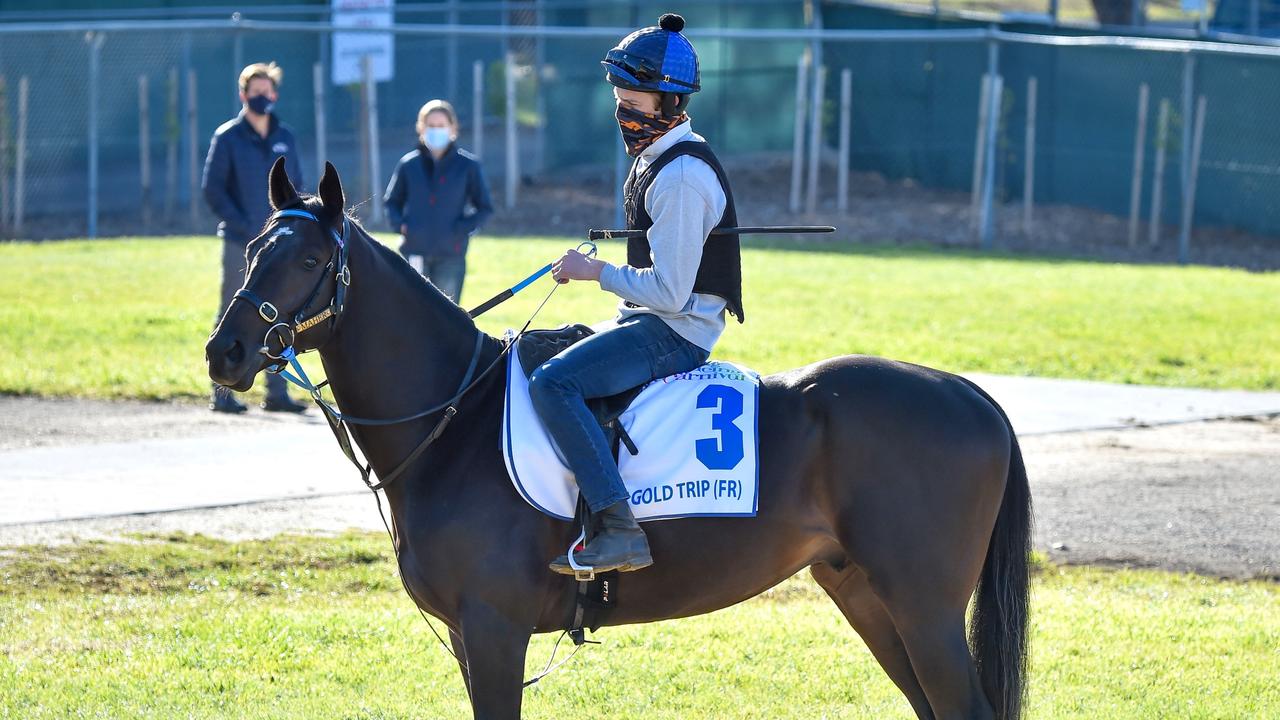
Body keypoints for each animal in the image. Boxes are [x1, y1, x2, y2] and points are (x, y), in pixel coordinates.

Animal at [207, 158, 1029, 717]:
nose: (227, 353)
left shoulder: (495, 631)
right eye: (250, 251)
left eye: (311, 260)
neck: (456, 422)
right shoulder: (472, 642)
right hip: (869, 596)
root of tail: (967, 392)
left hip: (923, 610)